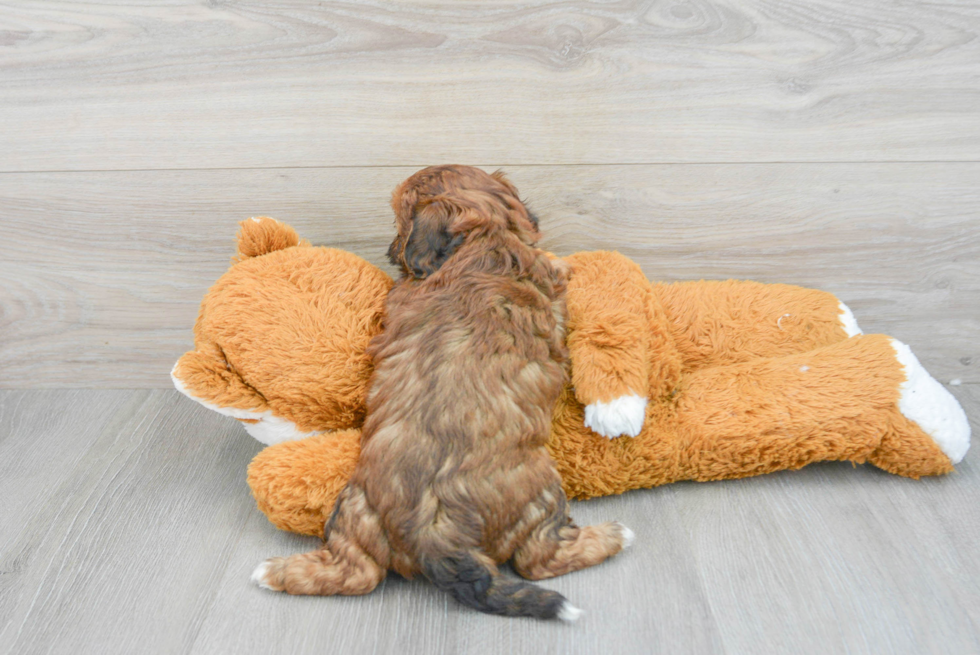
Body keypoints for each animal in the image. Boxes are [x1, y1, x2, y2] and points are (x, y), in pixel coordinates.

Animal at [253, 164, 632, 620]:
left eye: (398, 220)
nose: (391, 250)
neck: (487, 240)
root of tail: (437, 539)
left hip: (352, 513)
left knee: (357, 574)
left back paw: (272, 572)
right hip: (542, 497)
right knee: (539, 560)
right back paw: (614, 535)